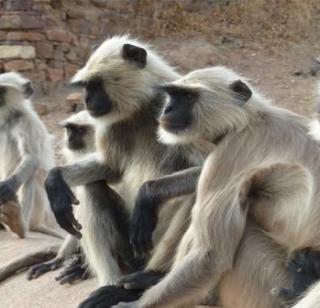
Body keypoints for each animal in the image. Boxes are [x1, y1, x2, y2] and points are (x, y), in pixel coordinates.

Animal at [0, 71, 62, 238]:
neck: (6, 120)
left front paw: (7, 187)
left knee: (32, 174)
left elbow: (32, 157)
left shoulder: (25, 121)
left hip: (40, 209)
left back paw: (19, 226)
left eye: (1, 90)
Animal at [111, 65, 320, 308]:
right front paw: (149, 193)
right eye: (172, 95)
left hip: (268, 286)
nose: (168, 109)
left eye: (188, 97)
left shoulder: (231, 152)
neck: (249, 120)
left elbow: (211, 256)